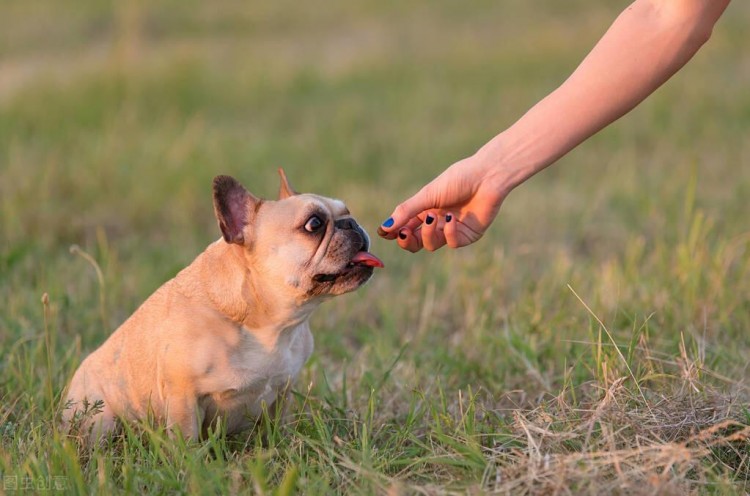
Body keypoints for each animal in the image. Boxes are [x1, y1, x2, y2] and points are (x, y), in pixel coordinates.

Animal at [61, 171, 384, 442]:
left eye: (347, 211)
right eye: (314, 224)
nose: (352, 223)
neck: (269, 324)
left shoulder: (282, 390)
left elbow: (276, 428)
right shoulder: (183, 396)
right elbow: (186, 442)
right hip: (100, 419)